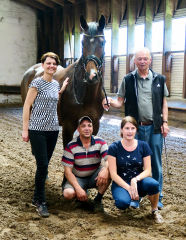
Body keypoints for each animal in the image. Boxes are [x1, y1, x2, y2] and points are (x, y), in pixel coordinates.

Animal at [20, 15, 105, 147]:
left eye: (102, 42)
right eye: (82, 43)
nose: (91, 76)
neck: (87, 96)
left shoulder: (95, 125)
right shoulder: (68, 126)